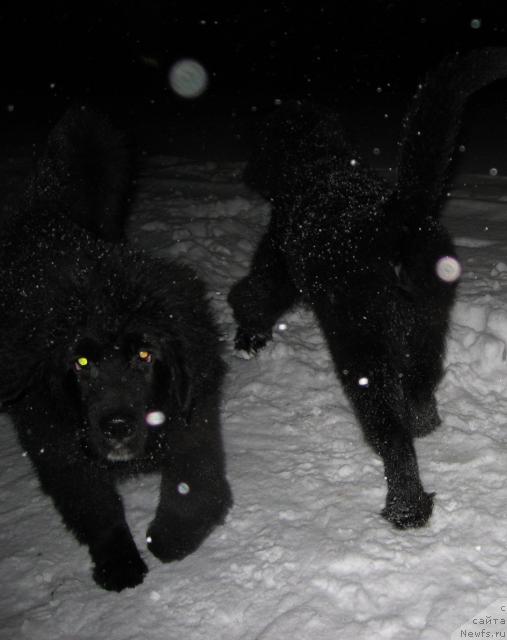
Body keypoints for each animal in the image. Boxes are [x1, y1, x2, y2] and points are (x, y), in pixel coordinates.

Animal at [0, 109, 232, 592]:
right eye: (81, 362)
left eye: (144, 357)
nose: (118, 426)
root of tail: (46, 208)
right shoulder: (56, 442)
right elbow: (95, 507)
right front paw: (119, 563)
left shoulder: (192, 415)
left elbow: (197, 489)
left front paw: (168, 539)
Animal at [228, 47, 507, 528]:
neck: (317, 168)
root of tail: (395, 217)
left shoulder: (277, 262)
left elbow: (254, 295)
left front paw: (248, 337)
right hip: (426, 325)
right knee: (419, 389)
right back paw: (425, 426)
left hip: (362, 344)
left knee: (391, 433)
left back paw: (406, 507)